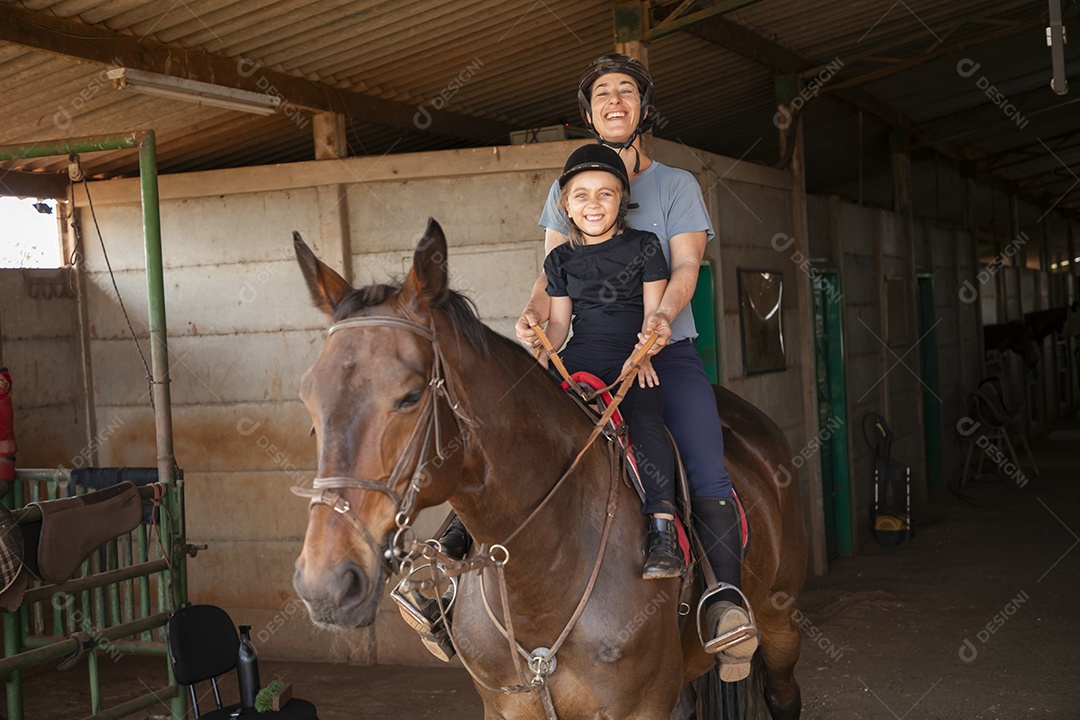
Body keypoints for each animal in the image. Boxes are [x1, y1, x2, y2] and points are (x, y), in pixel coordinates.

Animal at [291, 220, 807, 720]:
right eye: (308, 398)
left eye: (411, 396)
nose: (325, 584)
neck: (543, 574)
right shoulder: (507, 708)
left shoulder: (644, 708)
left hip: (779, 616)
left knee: (782, 691)